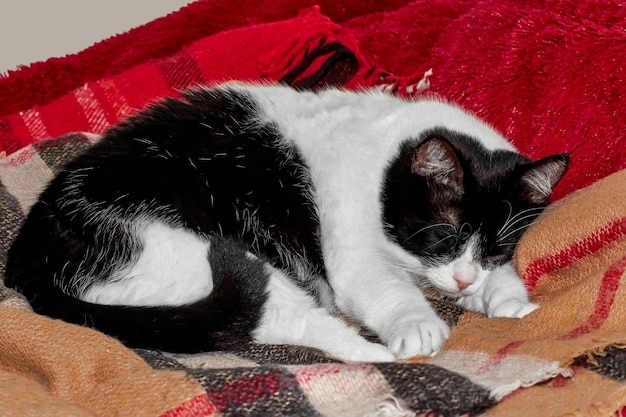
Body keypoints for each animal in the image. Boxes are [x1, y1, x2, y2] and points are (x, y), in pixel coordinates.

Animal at [2, 82, 564, 360]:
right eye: (443, 235)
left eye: (496, 247)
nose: (465, 280)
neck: (381, 150)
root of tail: (32, 258)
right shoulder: (354, 247)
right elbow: (381, 287)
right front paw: (417, 324)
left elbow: (498, 282)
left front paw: (507, 299)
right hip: (191, 253)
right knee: (283, 319)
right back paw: (375, 357)